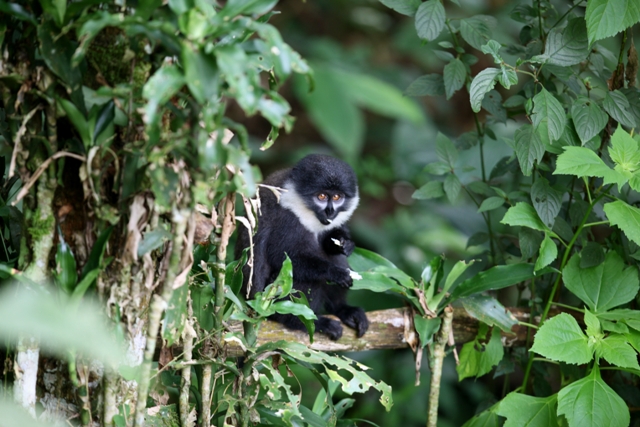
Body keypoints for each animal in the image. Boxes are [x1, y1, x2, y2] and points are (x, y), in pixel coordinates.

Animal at [236, 154, 370, 342]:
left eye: (337, 197)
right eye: (322, 196)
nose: (330, 211)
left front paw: (345, 243)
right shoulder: (287, 218)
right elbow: (283, 257)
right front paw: (335, 273)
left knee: (336, 257)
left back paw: (342, 309)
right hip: (271, 301)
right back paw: (304, 322)